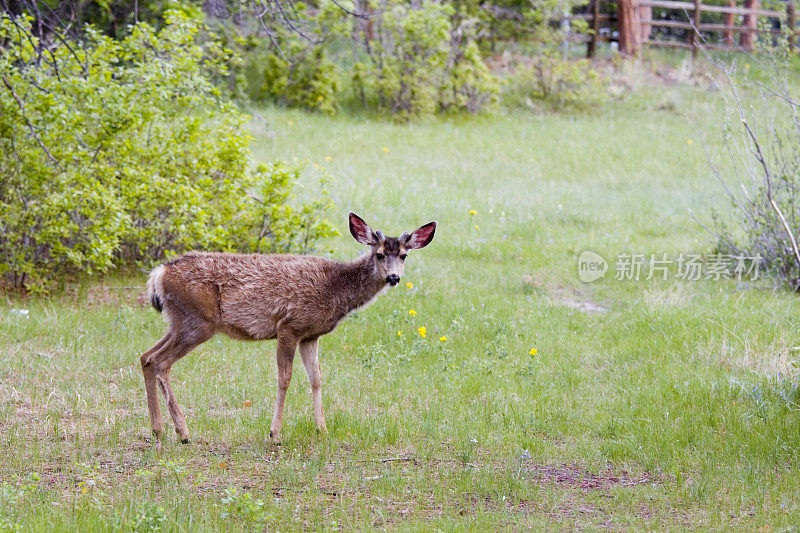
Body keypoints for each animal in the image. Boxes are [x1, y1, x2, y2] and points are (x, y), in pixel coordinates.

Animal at [141, 212, 434, 444]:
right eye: (380, 254)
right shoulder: (289, 326)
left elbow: (316, 378)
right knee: (161, 361)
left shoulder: (311, 335)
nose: (394, 277)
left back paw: (158, 429)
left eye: (404, 255)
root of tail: (159, 274)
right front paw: (275, 434)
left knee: (146, 357)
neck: (334, 289)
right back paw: (183, 432)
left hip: (179, 321)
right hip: (197, 322)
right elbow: (285, 378)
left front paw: (322, 429)